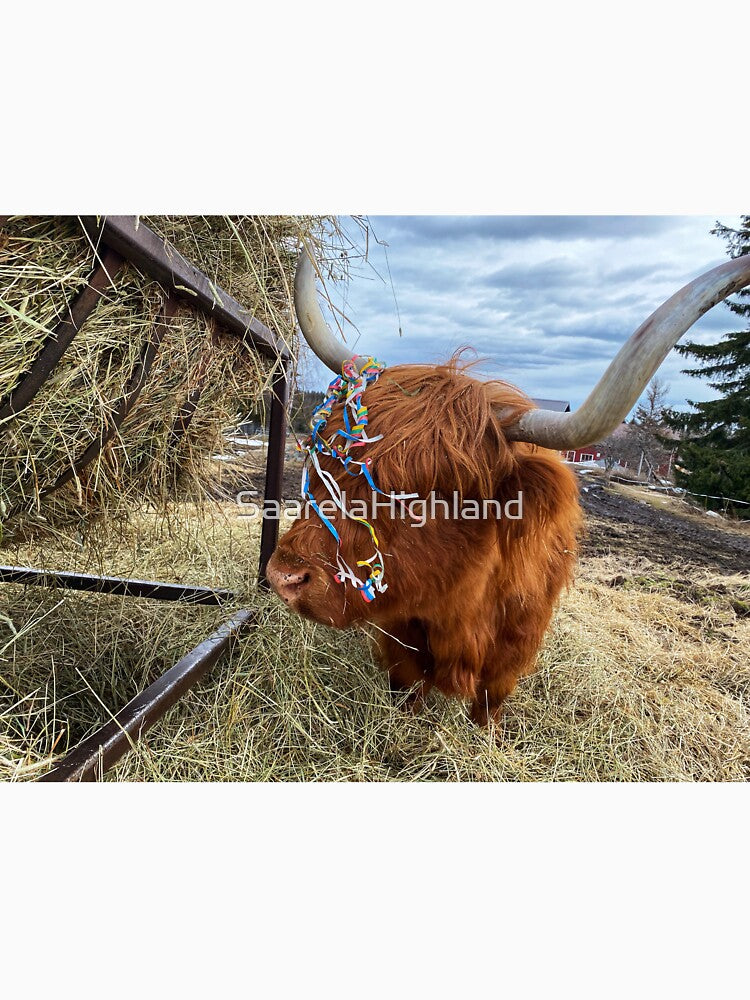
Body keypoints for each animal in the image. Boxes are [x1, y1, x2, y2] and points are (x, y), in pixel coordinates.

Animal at [266, 249, 750, 724]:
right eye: (325, 458)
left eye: (421, 495)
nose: (284, 575)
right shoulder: (401, 640)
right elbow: (406, 694)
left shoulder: (513, 649)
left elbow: (488, 705)